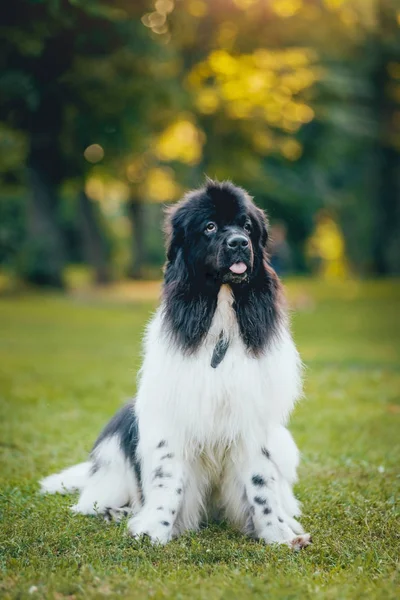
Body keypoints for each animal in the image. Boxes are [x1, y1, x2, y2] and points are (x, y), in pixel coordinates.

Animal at [40, 180, 310, 552]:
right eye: (209, 227)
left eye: (246, 227)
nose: (239, 243)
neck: (220, 319)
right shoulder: (171, 416)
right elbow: (168, 479)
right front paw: (154, 529)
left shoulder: (252, 420)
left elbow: (261, 484)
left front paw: (279, 534)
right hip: (119, 439)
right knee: (96, 499)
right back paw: (116, 512)